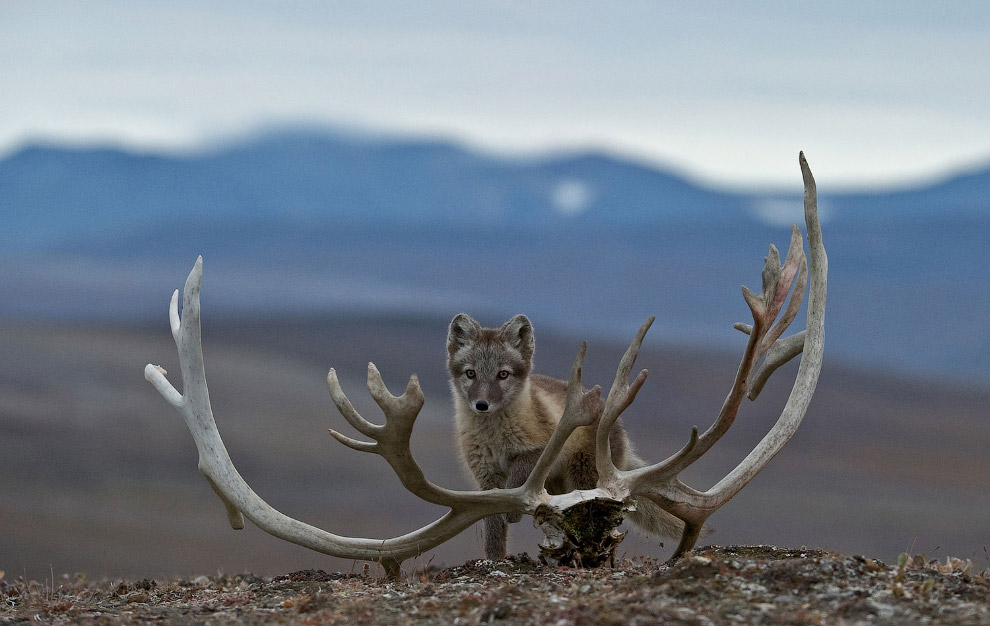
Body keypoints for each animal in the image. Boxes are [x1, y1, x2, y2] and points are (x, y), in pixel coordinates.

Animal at [448, 314, 684, 560]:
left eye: (503, 374)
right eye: (471, 373)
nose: (481, 405)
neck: (494, 438)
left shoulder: (538, 450)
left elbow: (517, 475)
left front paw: (512, 515)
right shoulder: (486, 478)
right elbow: (493, 527)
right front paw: (495, 559)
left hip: (585, 479)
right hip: (559, 488)